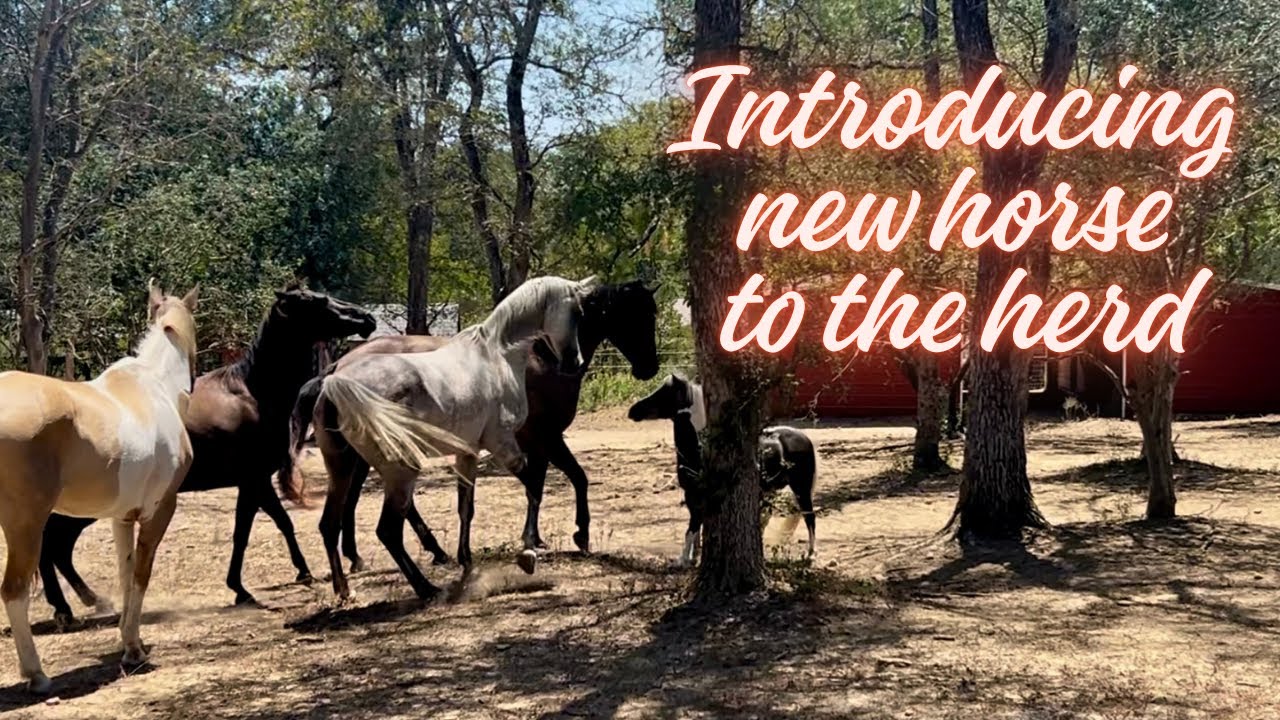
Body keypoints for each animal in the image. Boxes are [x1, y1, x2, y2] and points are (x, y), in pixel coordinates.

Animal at [0, 281, 198, 694]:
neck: (155, 386)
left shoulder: (122, 518)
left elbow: (125, 572)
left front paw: (129, 641)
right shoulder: (159, 512)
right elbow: (140, 575)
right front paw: (133, 650)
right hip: (26, 525)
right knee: (14, 591)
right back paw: (37, 675)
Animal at [38, 288, 375, 623]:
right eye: (315, 301)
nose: (366, 318)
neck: (252, 392)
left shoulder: (252, 482)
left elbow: (266, 525)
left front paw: (286, 575)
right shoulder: (255, 480)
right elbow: (258, 528)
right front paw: (250, 586)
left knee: (57, 546)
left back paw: (89, 600)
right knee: (51, 544)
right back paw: (66, 608)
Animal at [284, 279, 660, 572]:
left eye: (651, 313)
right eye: (634, 316)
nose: (650, 368)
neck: (534, 358)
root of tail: (336, 370)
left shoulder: (534, 442)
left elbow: (537, 483)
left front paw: (535, 538)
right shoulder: (544, 436)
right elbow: (571, 478)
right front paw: (577, 533)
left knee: (356, 499)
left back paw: (373, 556)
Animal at [312, 275, 595, 601]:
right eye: (578, 312)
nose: (574, 362)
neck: (497, 356)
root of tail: (335, 381)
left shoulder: (468, 452)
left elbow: (466, 507)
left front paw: (467, 562)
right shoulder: (503, 442)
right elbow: (534, 485)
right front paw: (528, 552)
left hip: (343, 469)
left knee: (330, 525)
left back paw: (345, 590)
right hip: (401, 469)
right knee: (388, 530)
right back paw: (425, 588)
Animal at [627, 373, 818, 564]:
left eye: (663, 394)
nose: (633, 411)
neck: (699, 449)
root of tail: (804, 438)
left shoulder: (700, 497)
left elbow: (691, 529)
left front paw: (683, 560)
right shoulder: (691, 496)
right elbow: (694, 531)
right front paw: (691, 557)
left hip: (801, 487)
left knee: (809, 516)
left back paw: (810, 553)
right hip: (771, 490)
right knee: (766, 518)